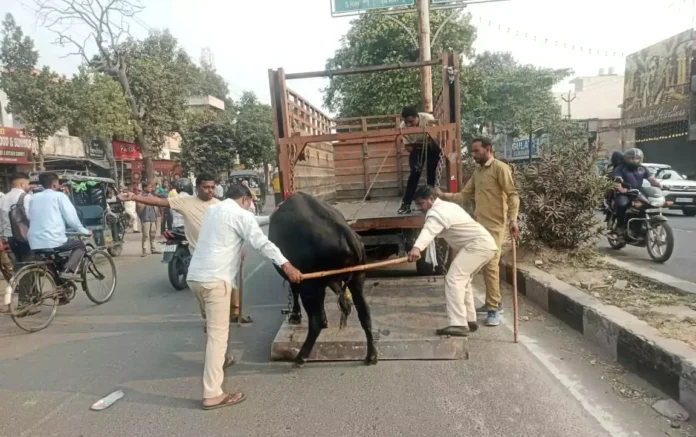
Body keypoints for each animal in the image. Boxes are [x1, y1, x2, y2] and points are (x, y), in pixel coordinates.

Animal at [270, 192, 378, 366]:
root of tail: (345, 231)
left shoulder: (299, 278)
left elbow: (295, 292)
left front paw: (295, 316)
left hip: (310, 286)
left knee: (315, 321)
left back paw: (301, 357)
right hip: (358, 279)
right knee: (365, 313)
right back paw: (371, 355)